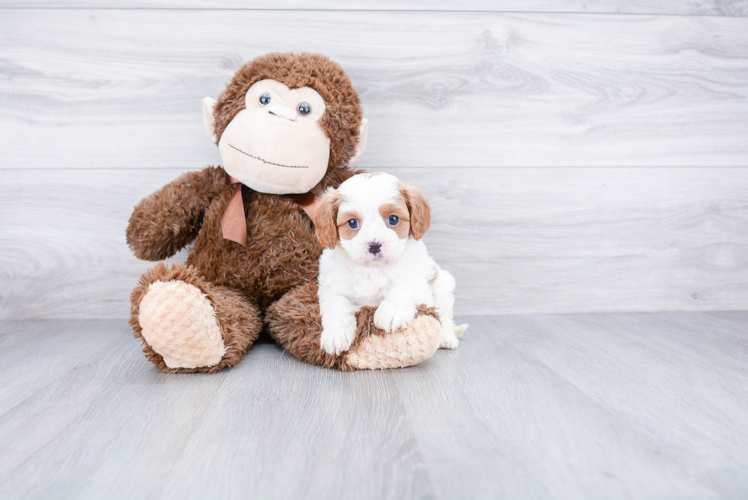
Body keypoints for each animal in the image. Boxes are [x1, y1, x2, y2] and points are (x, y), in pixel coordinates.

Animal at [312, 172, 464, 356]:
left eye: (393, 219)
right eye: (352, 223)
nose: (374, 245)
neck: (373, 270)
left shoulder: (419, 283)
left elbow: (403, 288)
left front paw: (392, 311)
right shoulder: (331, 288)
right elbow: (337, 305)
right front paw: (336, 335)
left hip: (443, 286)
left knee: (445, 316)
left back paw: (446, 337)